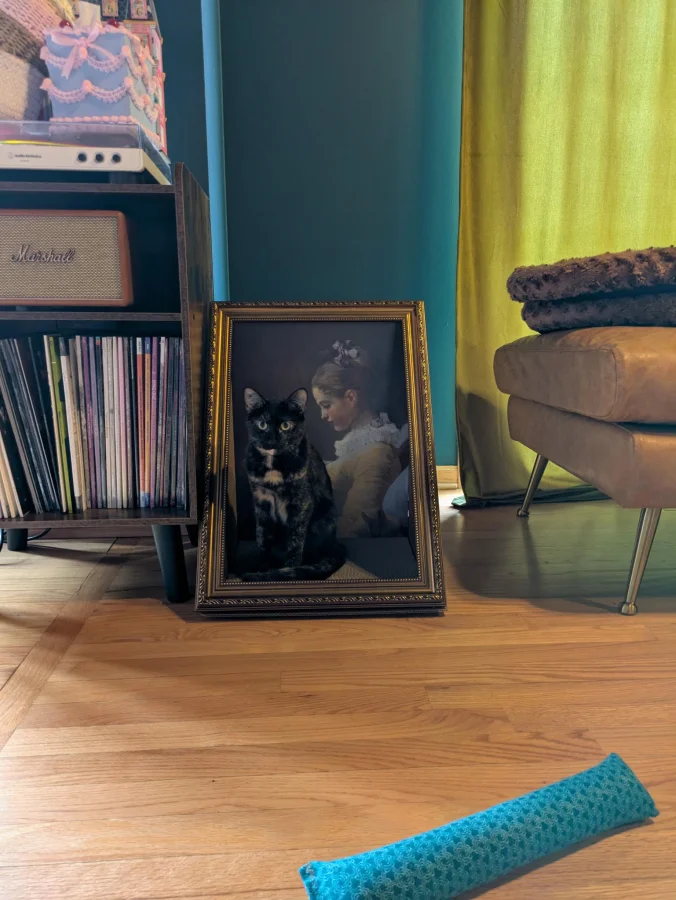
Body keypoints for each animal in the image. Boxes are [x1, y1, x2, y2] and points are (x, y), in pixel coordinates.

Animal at [241, 387, 346, 581]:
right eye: (262, 424)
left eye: (285, 426)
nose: (272, 439)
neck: (273, 465)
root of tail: (334, 545)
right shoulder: (261, 501)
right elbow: (262, 537)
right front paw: (263, 568)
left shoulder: (301, 503)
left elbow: (295, 541)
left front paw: (289, 569)